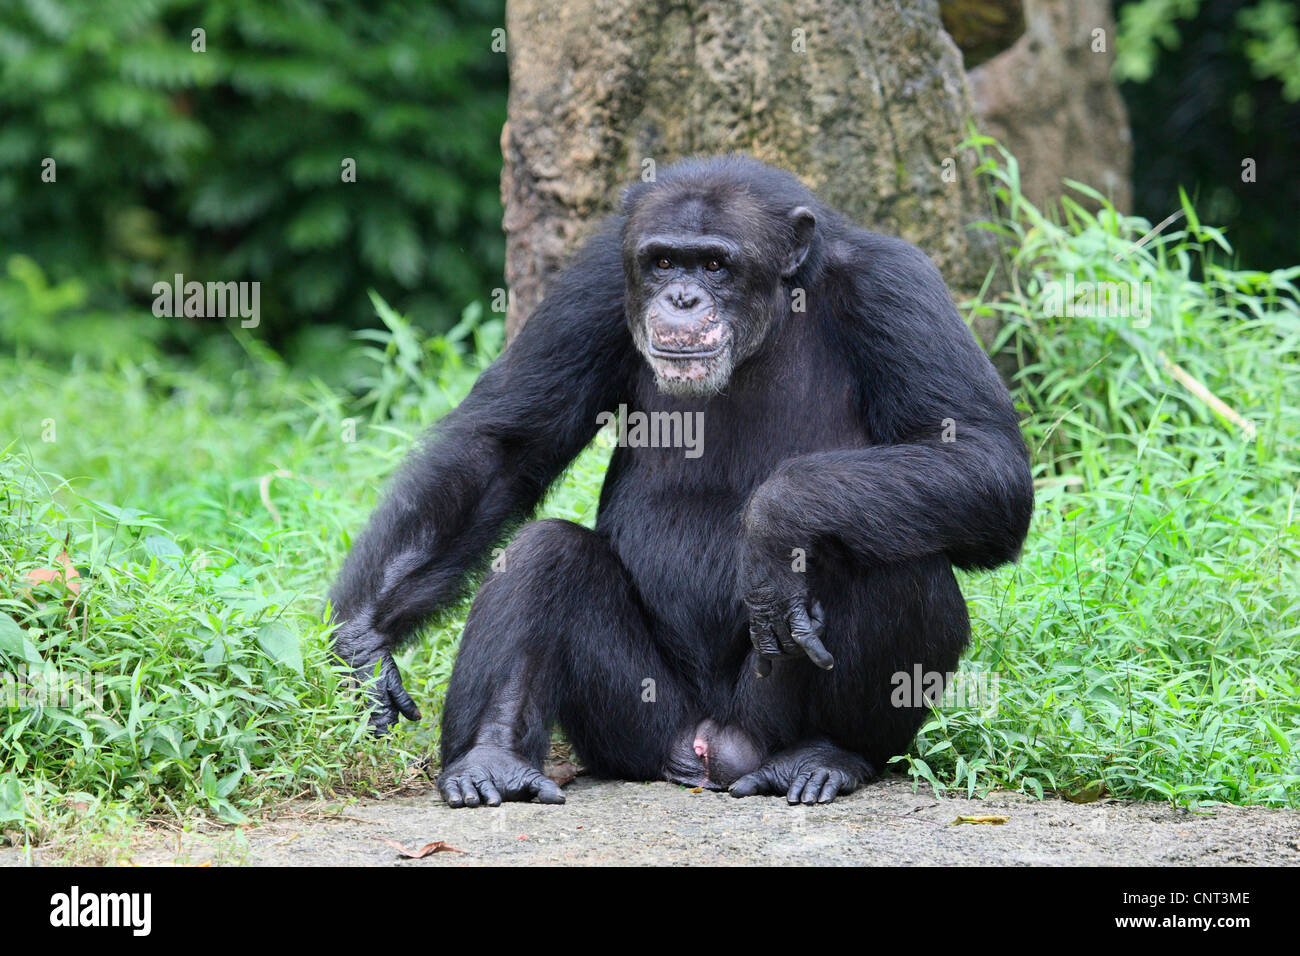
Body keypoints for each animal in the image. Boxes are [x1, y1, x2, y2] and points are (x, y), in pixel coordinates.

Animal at [327, 155, 1034, 806]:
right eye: (664, 262)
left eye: (716, 265)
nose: (683, 298)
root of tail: (708, 751)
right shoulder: (595, 285)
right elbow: (504, 446)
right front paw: (363, 641)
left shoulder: (898, 286)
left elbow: (980, 456)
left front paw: (776, 521)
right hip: (636, 728)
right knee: (541, 553)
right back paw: (491, 758)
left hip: (760, 724)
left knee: (889, 556)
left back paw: (827, 754)